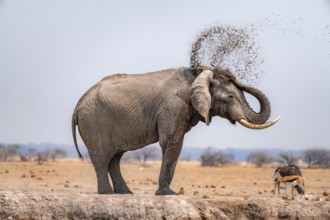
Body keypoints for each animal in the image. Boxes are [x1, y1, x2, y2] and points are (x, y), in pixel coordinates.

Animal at [71, 66, 280, 195]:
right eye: (230, 96)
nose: (228, 73)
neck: (196, 78)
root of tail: (78, 105)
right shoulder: (173, 107)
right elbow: (172, 141)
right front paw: (168, 194)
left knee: (115, 158)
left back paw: (125, 193)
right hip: (94, 123)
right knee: (103, 157)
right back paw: (107, 193)